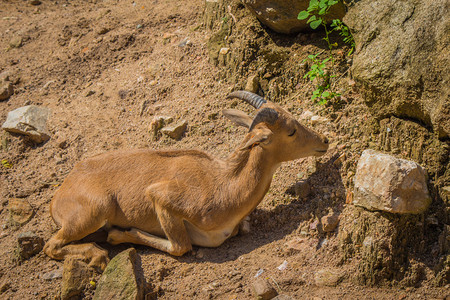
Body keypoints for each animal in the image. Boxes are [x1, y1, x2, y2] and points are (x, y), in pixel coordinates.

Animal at [44, 91, 328, 270]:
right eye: (291, 131)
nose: (324, 140)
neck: (226, 186)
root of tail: (59, 196)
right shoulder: (161, 197)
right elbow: (180, 246)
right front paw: (118, 234)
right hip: (93, 212)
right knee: (51, 246)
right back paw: (98, 252)